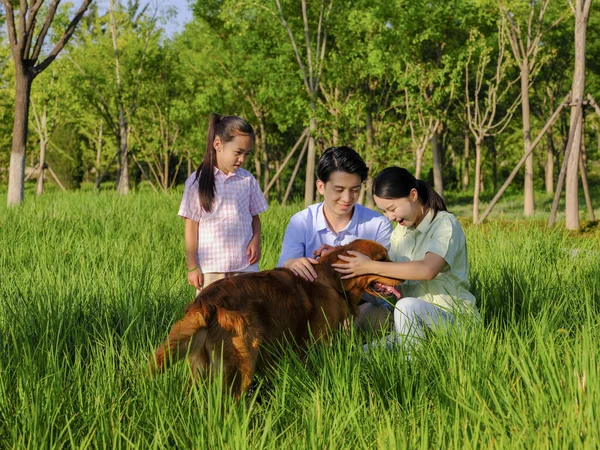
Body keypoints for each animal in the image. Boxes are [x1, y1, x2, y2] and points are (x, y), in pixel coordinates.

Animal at [152, 239, 400, 398]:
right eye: (381, 259)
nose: (402, 274)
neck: (332, 281)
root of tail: (206, 301)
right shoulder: (315, 346)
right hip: (242, 364)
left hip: (201, 368)